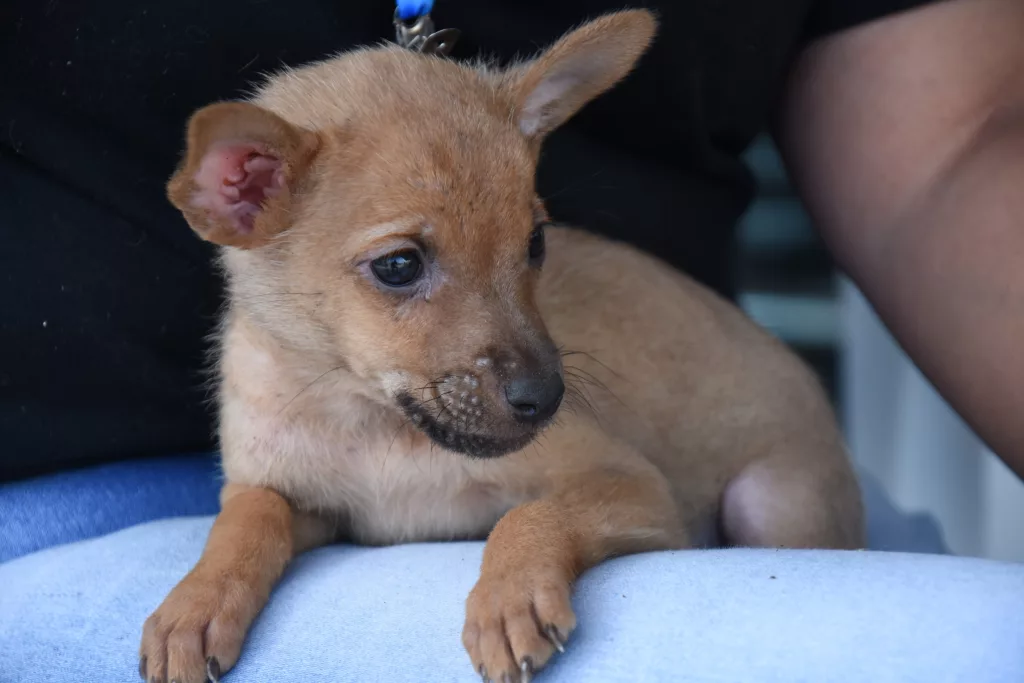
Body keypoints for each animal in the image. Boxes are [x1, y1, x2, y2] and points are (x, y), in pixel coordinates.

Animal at [140, 10, 864, 683]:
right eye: (398, 266)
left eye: (536, 243)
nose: (547, 398)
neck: (374, 425)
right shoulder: (292, 496)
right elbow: (244, 520)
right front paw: (194, 603)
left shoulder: (633, 487)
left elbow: (530, 512)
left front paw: (509, 597)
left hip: (768, 504)